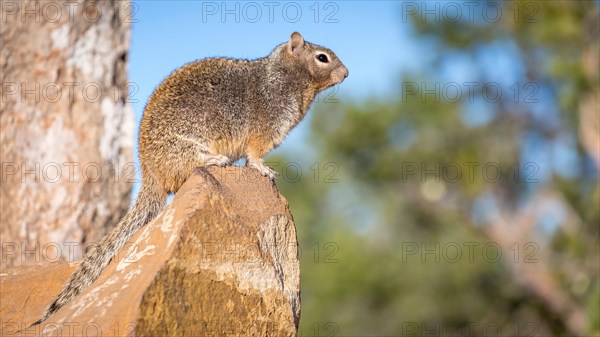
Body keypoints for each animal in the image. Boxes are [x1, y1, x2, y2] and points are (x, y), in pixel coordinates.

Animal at [32, 32, 350, 324]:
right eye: (322, 57)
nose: (347, 73)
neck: (285, 77)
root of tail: (151, 173)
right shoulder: (266, 129)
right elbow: (254, 156)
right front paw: (265, 169)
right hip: (187, 147)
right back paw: (216, 160)